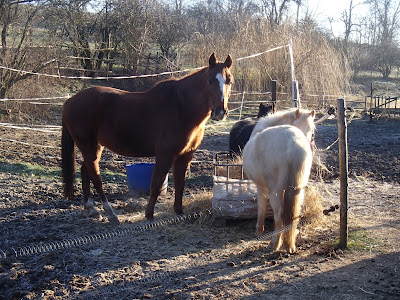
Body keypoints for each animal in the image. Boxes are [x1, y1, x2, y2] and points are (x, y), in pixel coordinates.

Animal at [61, 53, 233, 223]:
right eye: (210, 80)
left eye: (229, 80)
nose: (220, 112)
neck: (181, 107)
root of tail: (70, 101)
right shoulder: (165, 155)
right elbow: (156, 184)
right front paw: (149, 214)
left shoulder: (185, 155)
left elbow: (180, 184)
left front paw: (179, 212)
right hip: (89, 147)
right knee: (96, 177)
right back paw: (110, 213)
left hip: (94, 147)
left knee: (85, 171)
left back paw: (92, 209)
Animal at [241, 108, 316, 253]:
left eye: (312, 130)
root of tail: (293, 140)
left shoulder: (261, 187)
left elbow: (261, 207)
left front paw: (259, 231)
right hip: (298, 189)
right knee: (294, 212)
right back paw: (290, 243)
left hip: (275, 190)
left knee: (279, 213)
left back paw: (275, 244)